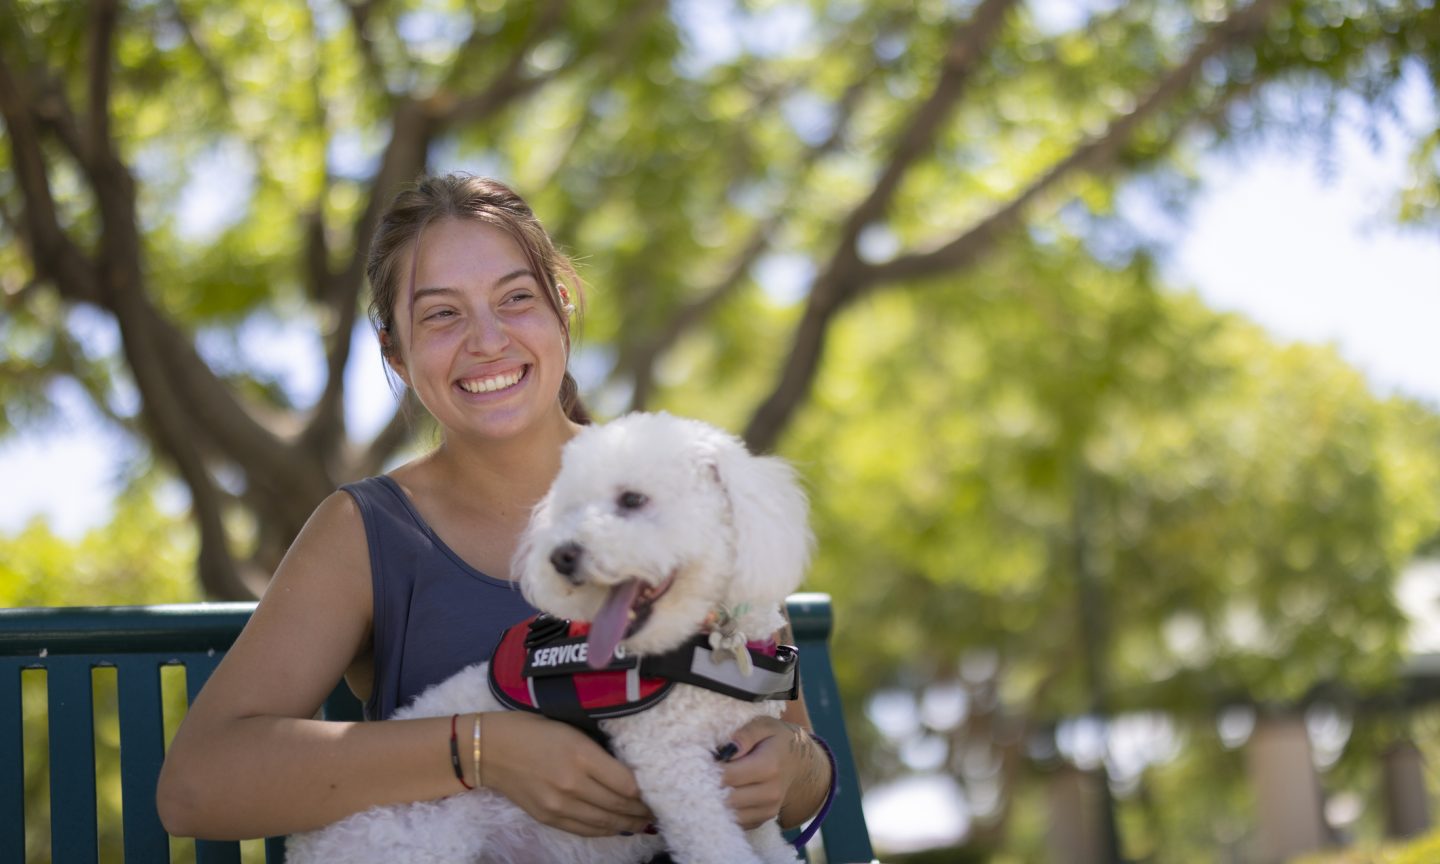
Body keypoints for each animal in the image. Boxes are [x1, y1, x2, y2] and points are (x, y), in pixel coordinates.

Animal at [286, 414, 817, 864]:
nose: (562, 556)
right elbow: (716, 846)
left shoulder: (742, 782)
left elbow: (770, 843)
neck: (712, 642)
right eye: (572, 510)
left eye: (632, 500)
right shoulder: (675, 771)